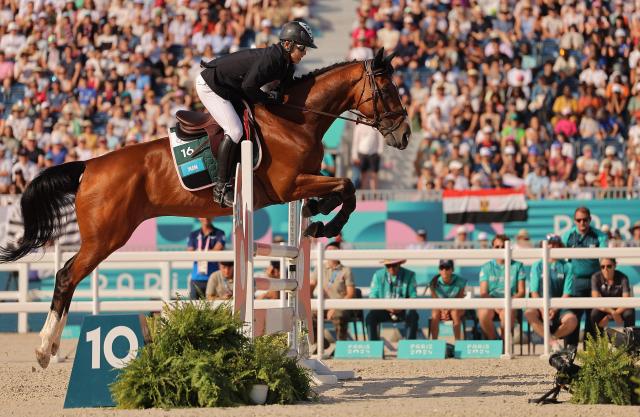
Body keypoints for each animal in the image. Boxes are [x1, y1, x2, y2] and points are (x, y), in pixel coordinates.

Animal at [0, 49, 410, 368]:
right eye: (388, 90)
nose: (404, 136)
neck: (297, 118)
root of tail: (89, 167)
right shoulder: (289, 185)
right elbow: (347, 187)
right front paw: (325, 225)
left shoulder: (301, 182)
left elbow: (340, 189)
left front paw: (318, 216)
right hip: (105, 238)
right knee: (67, 276)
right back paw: (44, 349)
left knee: (68, 277)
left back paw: (50, 347)